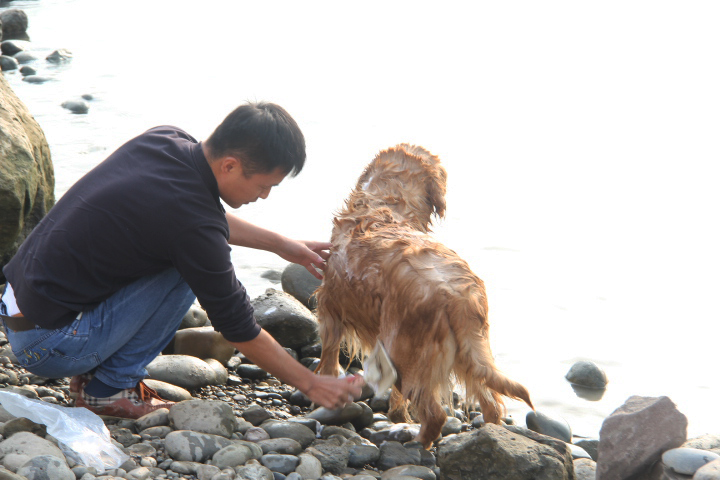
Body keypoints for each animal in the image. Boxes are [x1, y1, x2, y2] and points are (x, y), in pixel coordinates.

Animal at [315, 144, 533, 448]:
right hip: (469, 351)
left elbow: (328, 362)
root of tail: (457, 296)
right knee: (491, 403)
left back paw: (417, 443)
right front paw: (397, 415)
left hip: (404, 353)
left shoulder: (330, 310)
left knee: (434, 414)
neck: (386, 202)